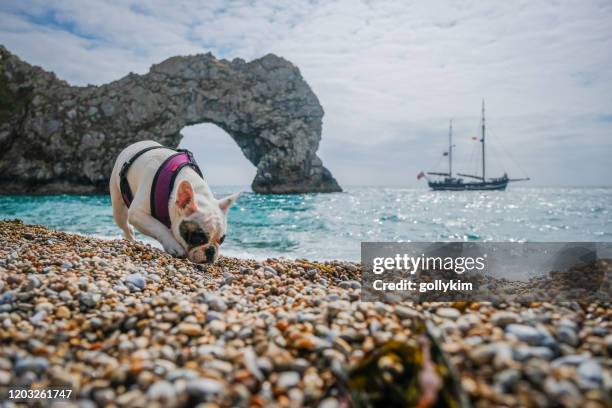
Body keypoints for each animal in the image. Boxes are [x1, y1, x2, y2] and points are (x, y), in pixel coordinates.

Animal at [110, 140, 239, 262]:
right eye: (197, 238)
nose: (211, 251)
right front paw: (174, 246)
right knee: (125, 225)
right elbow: (159, 227)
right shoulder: (137, 213)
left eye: (222, 240)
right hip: (119, 207)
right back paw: (131, 239)